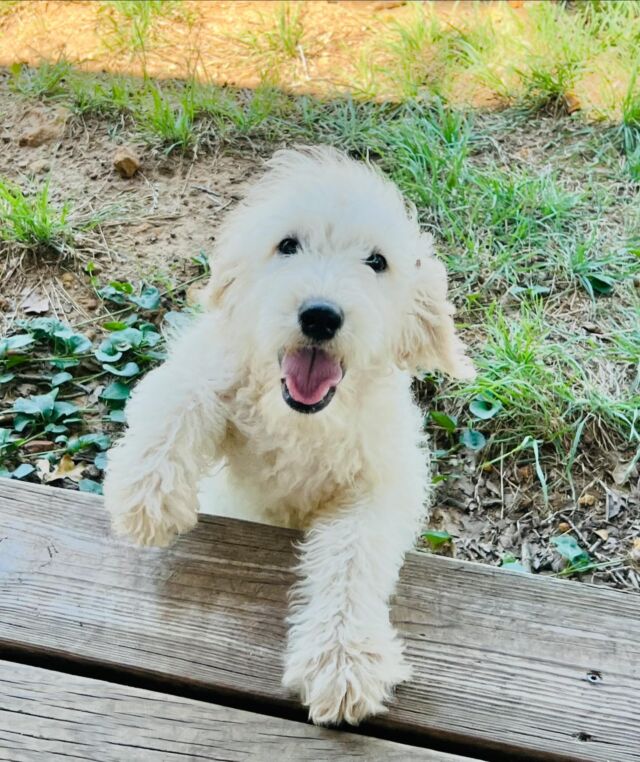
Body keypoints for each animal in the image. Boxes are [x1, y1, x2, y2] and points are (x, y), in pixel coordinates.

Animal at [105, 147, 472, 724]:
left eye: (377, 261)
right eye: (287, 245)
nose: (320, 316)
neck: (306, 421)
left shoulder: (380, 483)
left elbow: (353, 554)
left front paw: (343, 658)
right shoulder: (220, 363)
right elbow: (180, 390)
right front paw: (148, 497)